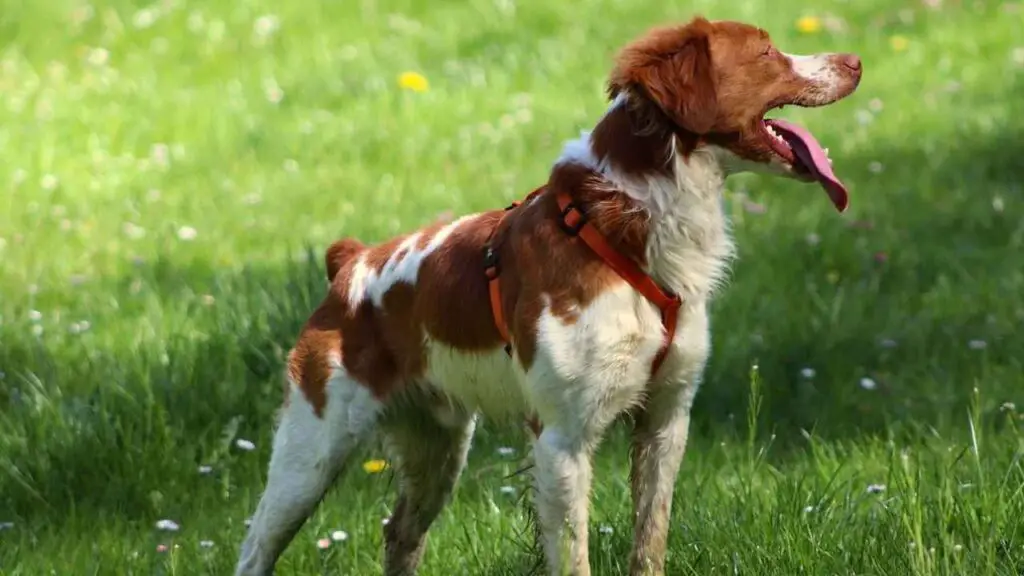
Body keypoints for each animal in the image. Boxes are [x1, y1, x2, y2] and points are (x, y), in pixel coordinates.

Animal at [234, 14, 864, 573]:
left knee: (399, 535)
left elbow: (649, 544)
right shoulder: (563, 438)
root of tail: (351, 265)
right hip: (311, 451)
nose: (856, 61)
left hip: (438, 451)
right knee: (256, 545)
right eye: (765, 52)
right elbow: (574, 557)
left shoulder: (666, 420)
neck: (629, 229)